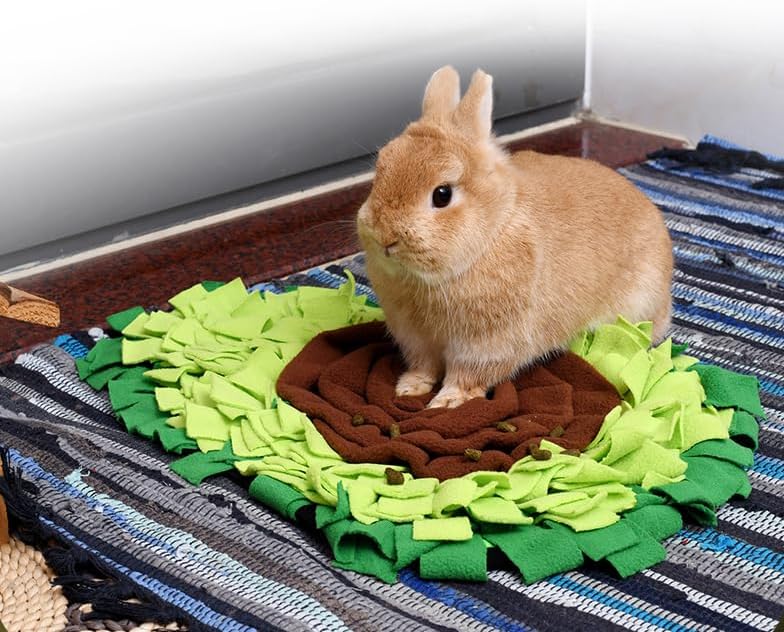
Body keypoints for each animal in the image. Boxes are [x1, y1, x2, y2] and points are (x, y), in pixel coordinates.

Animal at [356, 65, 673, 409]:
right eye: (380, 171)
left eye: (442, 195)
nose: (385, 239)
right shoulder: (415, 337)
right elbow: (423, 365)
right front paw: (409, 388)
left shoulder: (486, 343)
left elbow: (467, 375)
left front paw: (447, 402)